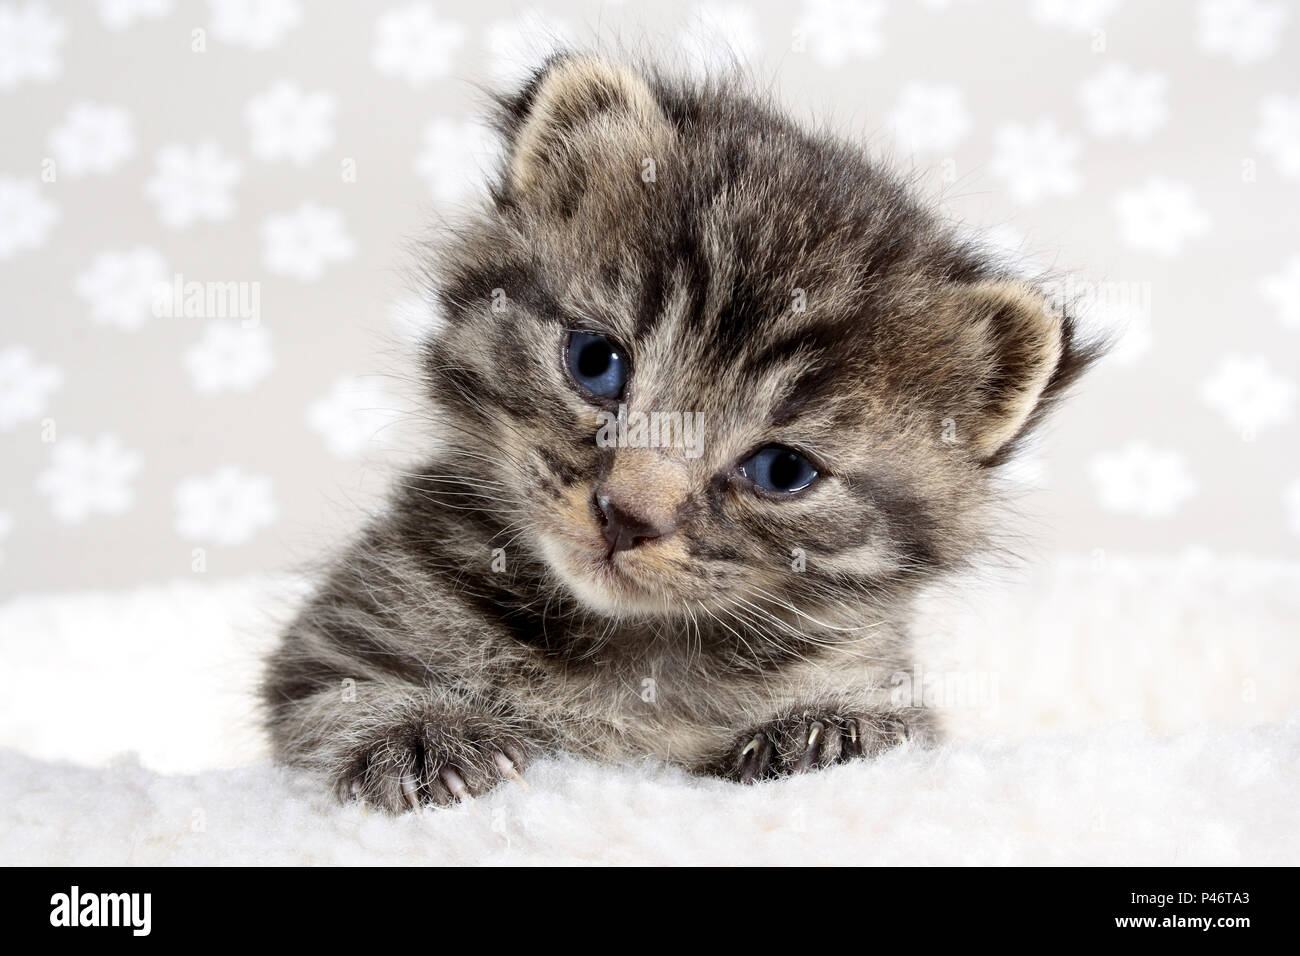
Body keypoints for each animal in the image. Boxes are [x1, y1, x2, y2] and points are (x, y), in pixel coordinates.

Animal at [261, 54, 1097, 816]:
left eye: (782, 470)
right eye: (596, 363)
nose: (626, 516)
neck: (629, 647)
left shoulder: (880, 676)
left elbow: (887, 723)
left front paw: (827, 731)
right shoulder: (331, 642)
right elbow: (340, 697)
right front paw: (419, 735)